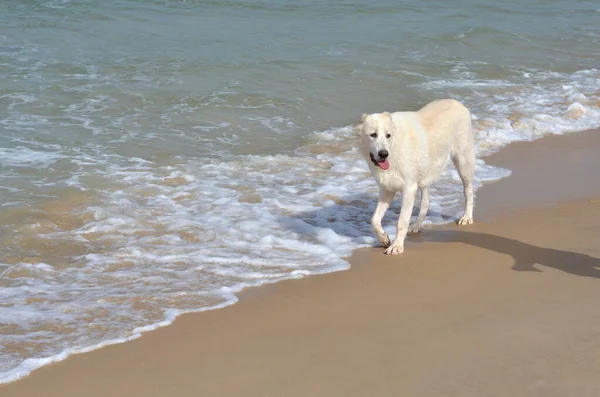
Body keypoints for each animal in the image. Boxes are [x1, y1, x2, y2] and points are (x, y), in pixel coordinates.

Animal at [356, 98, 474, 254]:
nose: (383, 154)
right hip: (425, 173)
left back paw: (467, 217)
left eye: (388, 135)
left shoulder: (409, 188)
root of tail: (457, 102)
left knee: (468, 190)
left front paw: (397, 246)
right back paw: (416, 226)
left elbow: (402, 220)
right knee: (426, 202)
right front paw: (384, 239)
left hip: (463, 161)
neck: (394, 148)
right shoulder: (387, 189)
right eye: (373, 135)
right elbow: (374, 220)